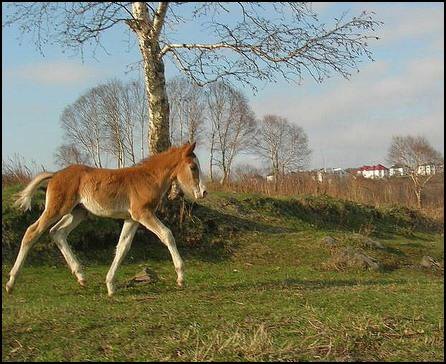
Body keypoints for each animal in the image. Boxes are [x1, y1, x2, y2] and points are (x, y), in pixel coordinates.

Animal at [5, 142, 207, 296]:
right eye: (193, 167)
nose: (204, 192)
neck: (148, 178)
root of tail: (55, 174)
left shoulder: (132, 219)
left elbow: (122, 247)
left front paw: (110, 285)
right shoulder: (143, 213)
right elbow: (167, 234)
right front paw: (181, 277)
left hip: (78, 212)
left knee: (57, 232)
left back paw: (81, 276)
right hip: (57, 208)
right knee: (32, 232)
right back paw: (11, 282)